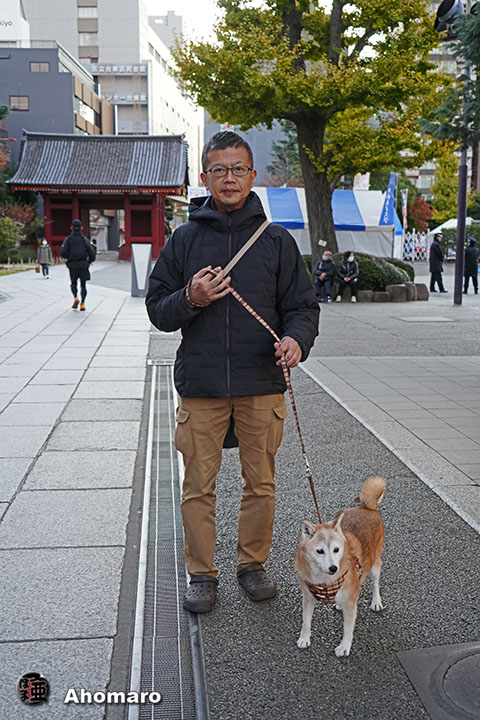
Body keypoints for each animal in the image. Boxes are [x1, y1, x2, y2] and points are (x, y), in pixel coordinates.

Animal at [295, 476, 386, 657]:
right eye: (320, 551)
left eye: (336, 549)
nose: (333, 568)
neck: (324, 581)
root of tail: (367, 508)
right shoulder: (308, 597)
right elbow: (306, 621)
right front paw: (304, 638)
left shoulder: (351, 604)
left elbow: (348, 629)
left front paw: (344, 647)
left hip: (375, 564)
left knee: (375, 583)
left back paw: (376, 601)